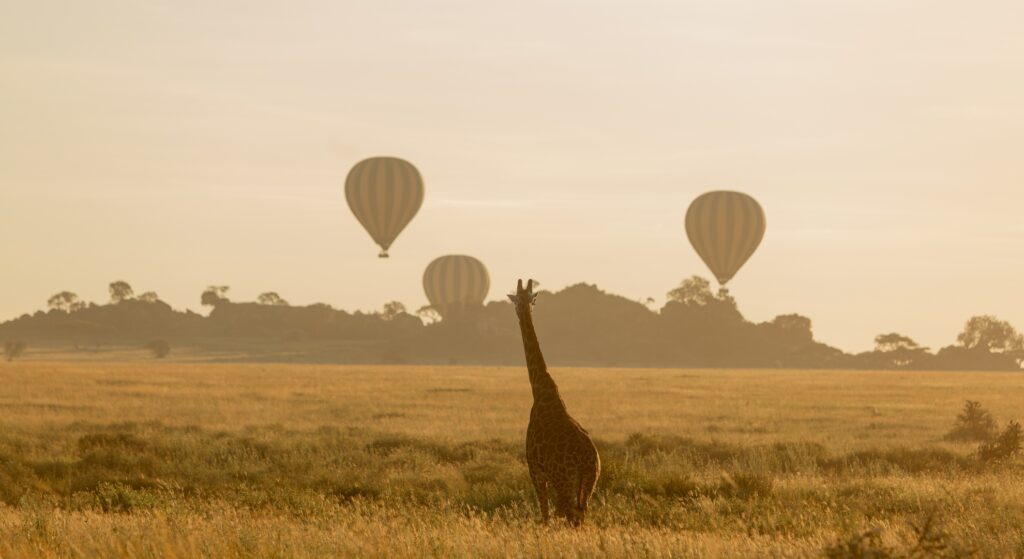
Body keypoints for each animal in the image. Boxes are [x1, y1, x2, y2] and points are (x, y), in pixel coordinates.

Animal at [508, 278, 600, 526]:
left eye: (519, 301)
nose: (520, 312)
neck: (541, 391)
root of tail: (589, 460)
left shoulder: (535, 469)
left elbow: (544, 513)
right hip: (589, 485)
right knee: (581, 514)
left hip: (564, 482)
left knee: (567, 513)